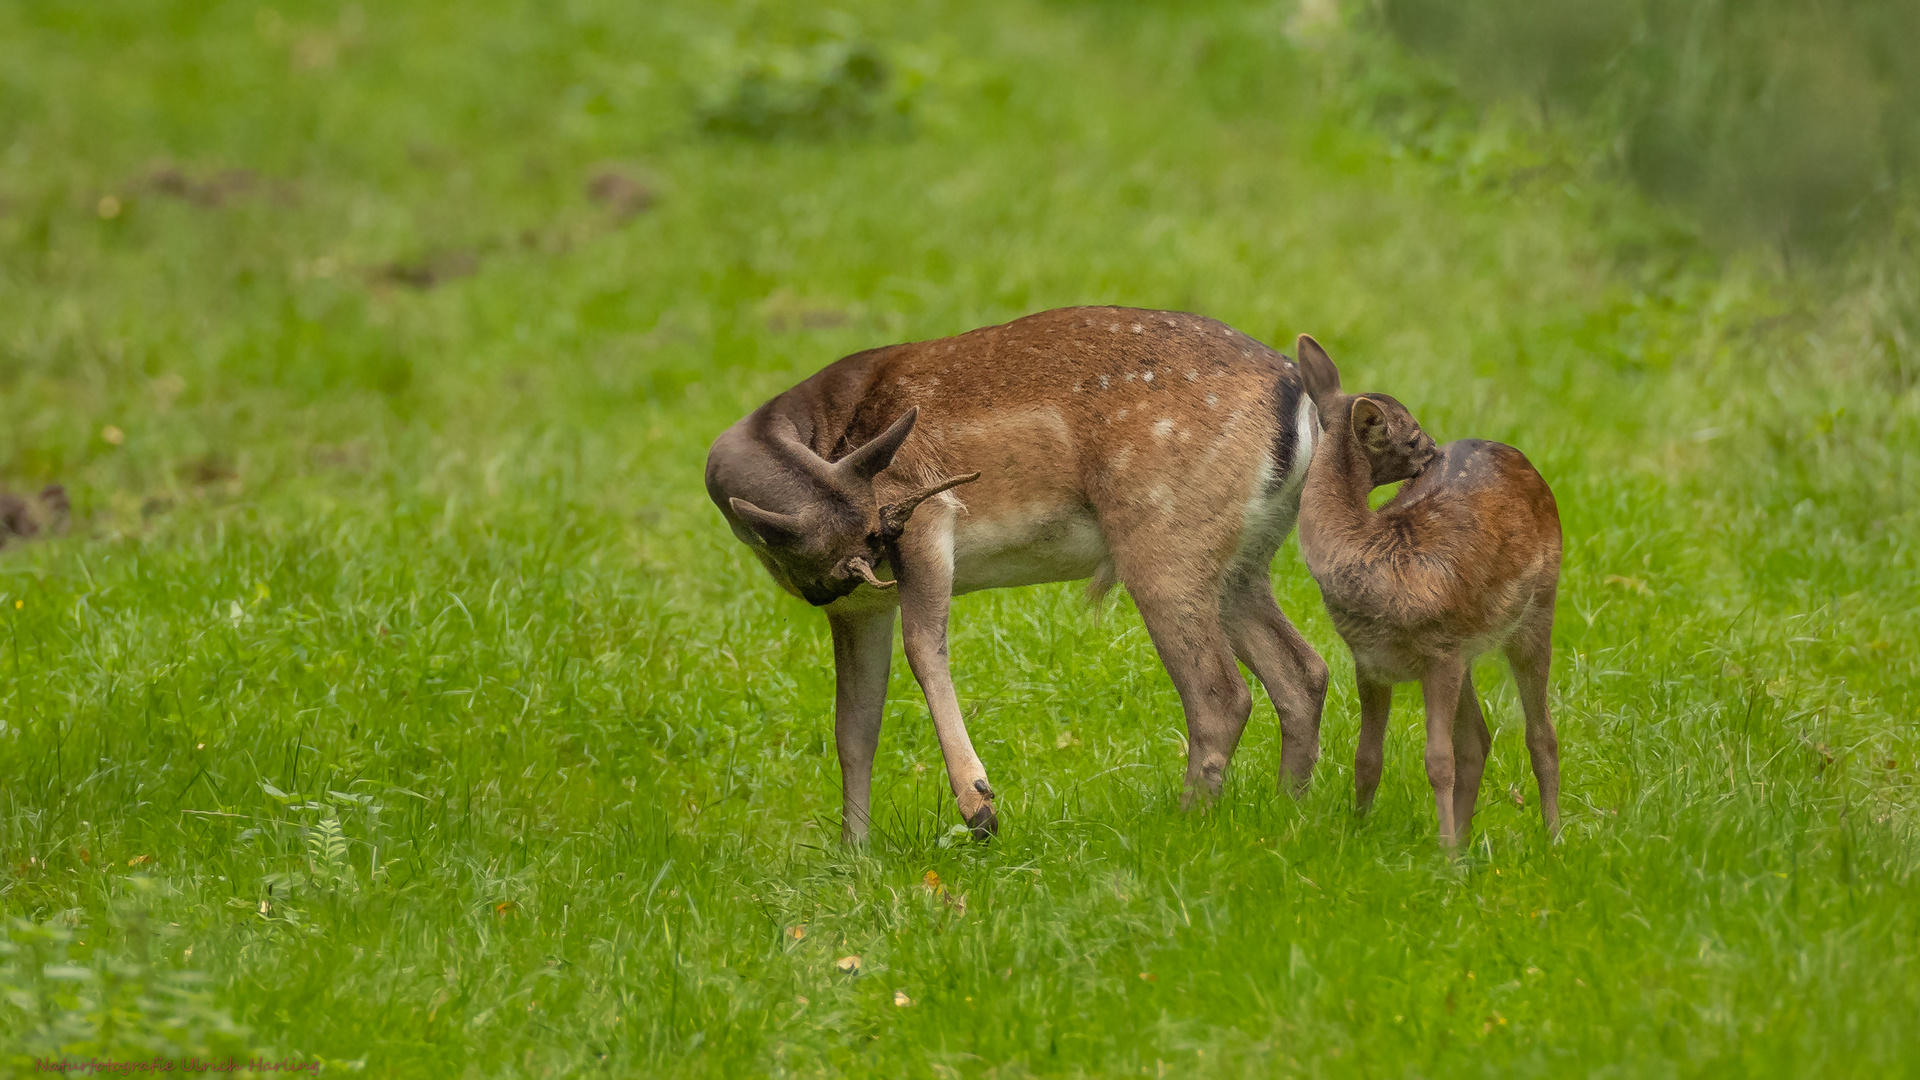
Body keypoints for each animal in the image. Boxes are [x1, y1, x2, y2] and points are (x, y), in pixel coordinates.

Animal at [714, 305, 1328, 841]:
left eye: (886, 528)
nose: (826, 585)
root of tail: (1301, 402)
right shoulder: (859, 607)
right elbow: (854, 725)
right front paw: (855, 854)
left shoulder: (927, 519)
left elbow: (922, 647)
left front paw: (979, 808)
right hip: (1240, 562)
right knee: (1303, 671)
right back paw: (1288, 812)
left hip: (1166, 540)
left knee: (1221, 692)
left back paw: (1185, 823)